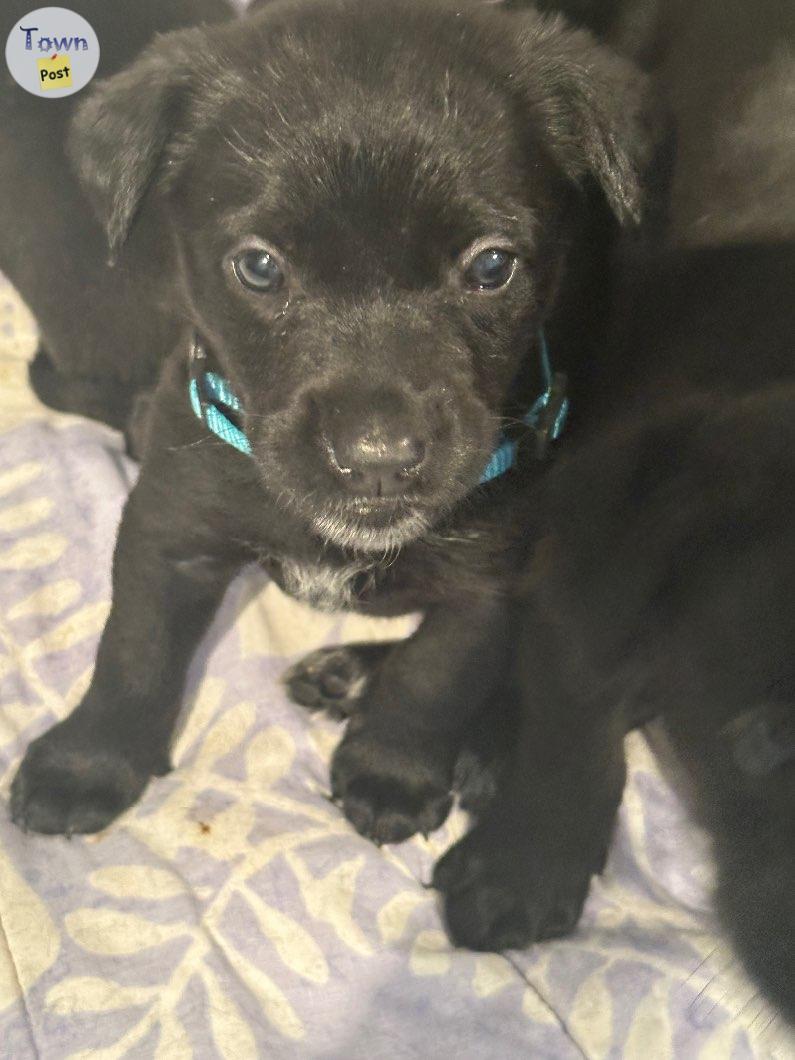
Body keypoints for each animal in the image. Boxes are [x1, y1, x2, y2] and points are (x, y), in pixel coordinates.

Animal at [3, 0, 652, 843]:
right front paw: (88, 761)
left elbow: (431, 679)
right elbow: (133, 647)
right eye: (258, 267)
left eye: (490, 266)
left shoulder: (483, 583)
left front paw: (390, 771)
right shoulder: (168, 530)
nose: (377, 458)